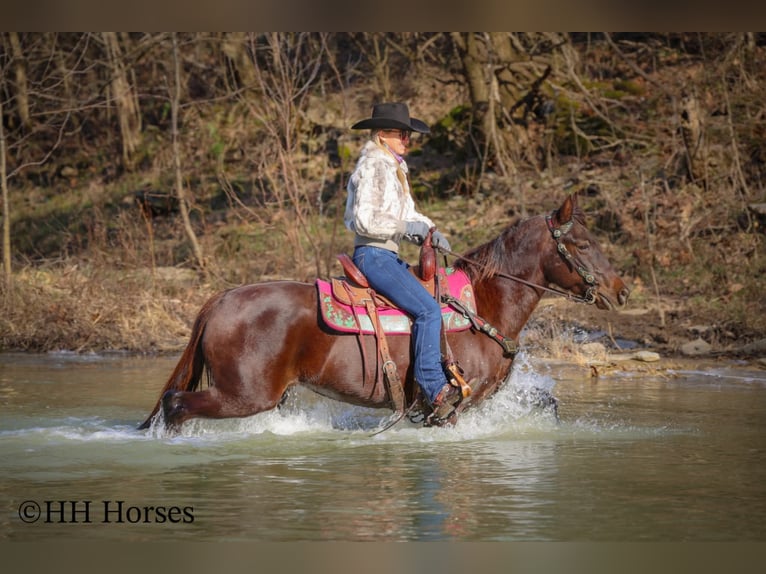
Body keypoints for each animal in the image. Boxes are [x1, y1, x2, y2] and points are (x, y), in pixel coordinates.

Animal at [139, 193, 630, 432]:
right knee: (176, 405)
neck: (483, 303)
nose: (621, 291)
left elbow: (548, 404)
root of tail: (220, 300)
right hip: (243, 395)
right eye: (583, 244)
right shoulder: (456, 401)